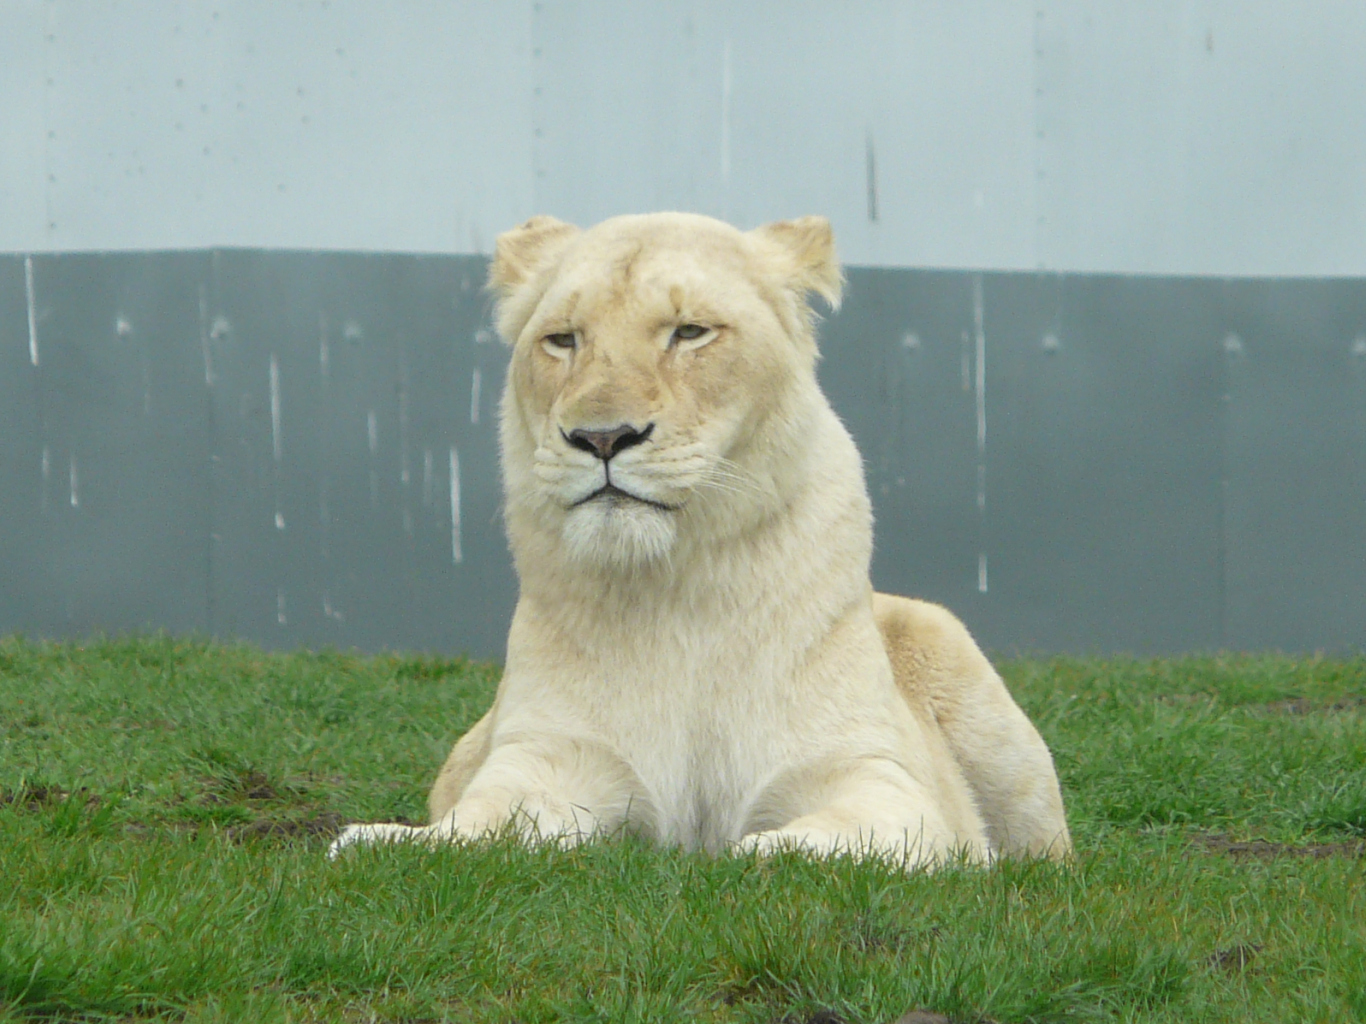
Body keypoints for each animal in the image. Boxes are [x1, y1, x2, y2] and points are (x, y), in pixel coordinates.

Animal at [330, 212, 1072, 866]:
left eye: (689, 332)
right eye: (563, 339)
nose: (602, 437)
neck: (677, 587)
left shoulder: (879, 776)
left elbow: (831, 840)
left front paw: (749, 854)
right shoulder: (551, 756)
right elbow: (480, 823)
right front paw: (383, 841)